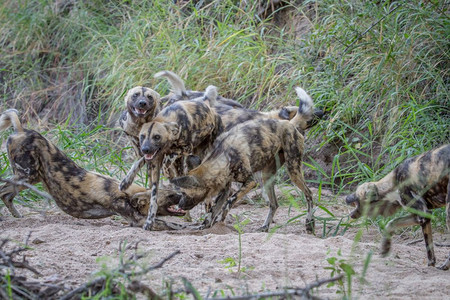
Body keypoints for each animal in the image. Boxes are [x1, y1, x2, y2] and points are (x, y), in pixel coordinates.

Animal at [0, 109, 185, 226]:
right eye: (170, 195)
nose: (183, 195)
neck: (126, 193)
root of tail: (21, 130)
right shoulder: (136, 219)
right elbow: (177, 226)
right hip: (27, 175)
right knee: (3, 191)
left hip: (31, 178)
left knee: (7, 195)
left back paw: (17, 217)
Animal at [118, 85, 222, 231]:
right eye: (142, 136)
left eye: (157, 137)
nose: (145, 149)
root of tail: (206, 104)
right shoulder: (153, 160)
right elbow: (153, 197)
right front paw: (149, 221)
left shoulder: (183, 149)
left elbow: (168, 158)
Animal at [171, 86, 314, 232]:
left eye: (184, 193)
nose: (179, 206)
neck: (224, 157)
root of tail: (289, 123)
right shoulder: (225, 188)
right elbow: (213, 210)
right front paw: (205, 226)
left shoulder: (250, 182)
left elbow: (228, 203)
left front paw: (221, 222)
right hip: (267, 176)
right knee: (274, 204)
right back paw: (265, 226)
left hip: (293, 171)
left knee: (309, 194)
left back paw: (310, 224)